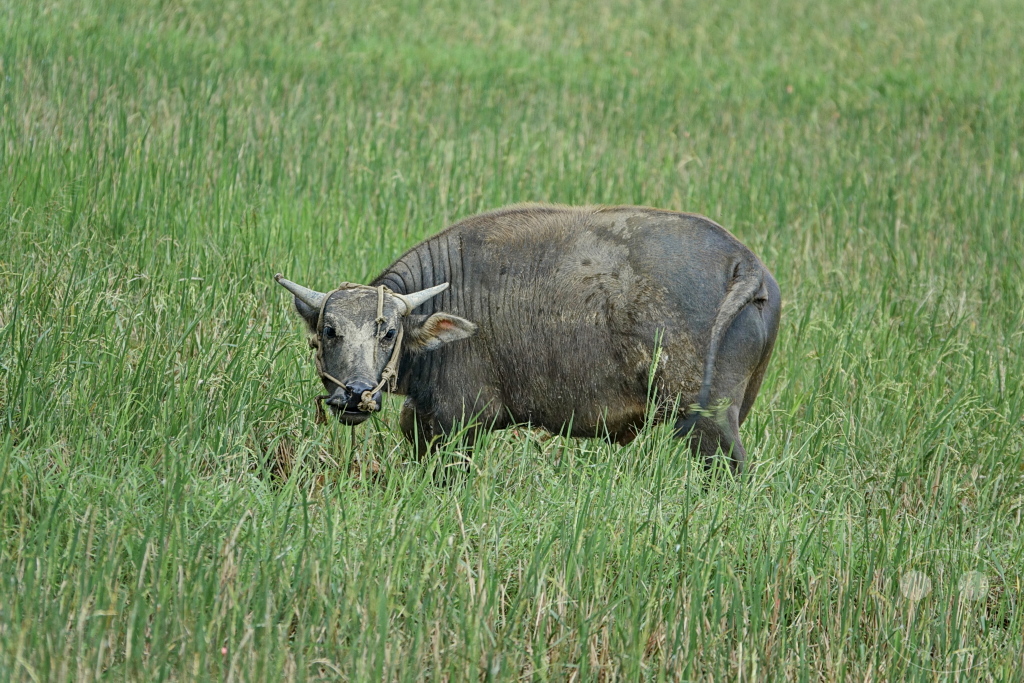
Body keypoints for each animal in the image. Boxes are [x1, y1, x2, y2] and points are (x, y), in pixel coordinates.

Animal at [276, 204, 780, 472]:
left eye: (388, 332)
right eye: (330, 330)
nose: (355, 394)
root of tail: (744, 262)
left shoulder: (459, 423)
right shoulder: (421, 421)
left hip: (705, 424)